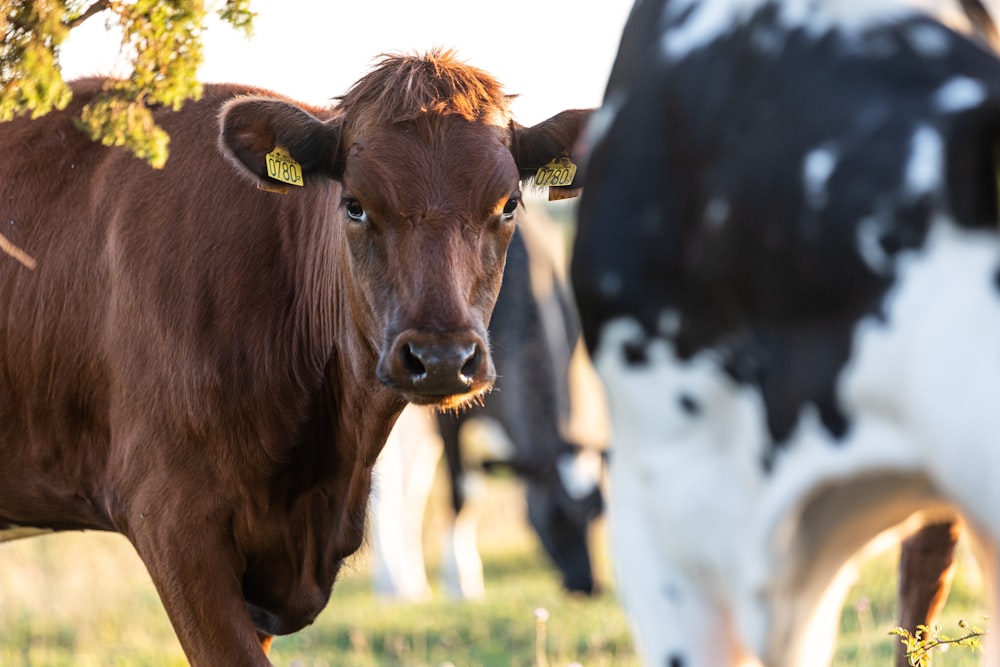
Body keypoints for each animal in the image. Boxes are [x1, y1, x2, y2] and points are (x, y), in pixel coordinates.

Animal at [370, 217, 600, 604]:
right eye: (555, 517)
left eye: (599, 511)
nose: (588, 585)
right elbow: (464, 490)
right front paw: (460, 582)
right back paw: (392, 583)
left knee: (413, 483)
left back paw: (412, 582)